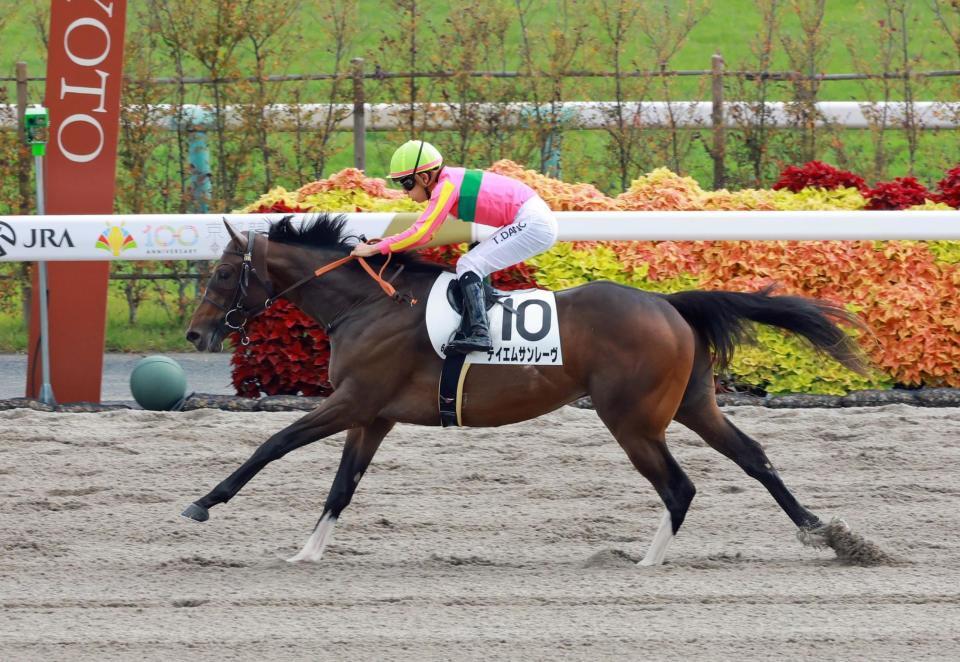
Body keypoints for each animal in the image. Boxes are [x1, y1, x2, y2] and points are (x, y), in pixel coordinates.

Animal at [182, 213, 872, 566]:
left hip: (632, 419)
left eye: (221, 273)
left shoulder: (353, 401)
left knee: (680, 485)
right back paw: (826, 534)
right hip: (691, 404)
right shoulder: (372, 415)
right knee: (752, 457)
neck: (369, 306)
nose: (195, 333)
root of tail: (668, 304)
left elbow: (273, 444)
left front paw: (203, 503)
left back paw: (645, 562)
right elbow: (342, 486)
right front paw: (307, 552)